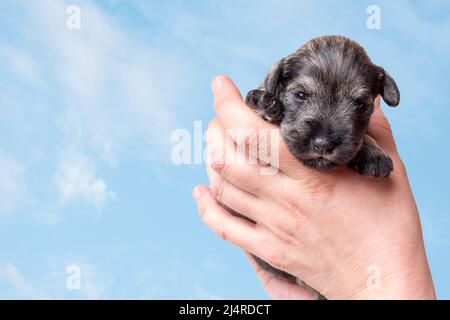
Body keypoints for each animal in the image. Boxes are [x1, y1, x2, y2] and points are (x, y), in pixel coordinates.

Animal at [244, 35, 400, 300]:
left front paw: (374, 153)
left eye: (360, 104)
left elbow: (365, 136)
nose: (323, 144)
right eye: (300, 95)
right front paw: (265, 104)